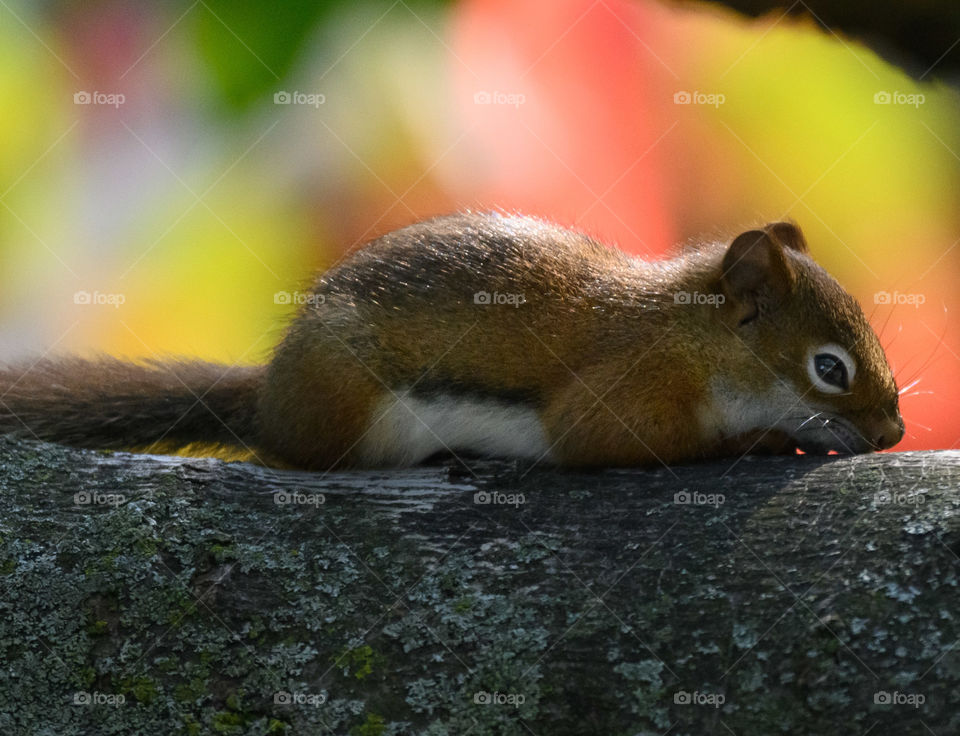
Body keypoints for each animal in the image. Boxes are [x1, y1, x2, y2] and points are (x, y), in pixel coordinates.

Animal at [0, 212, 903, 470]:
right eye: (829, 368)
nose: (895, 432)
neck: (694, 337)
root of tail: (270, 395)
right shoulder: (631, 386)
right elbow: (613, 442)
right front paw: (761, 439)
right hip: (345, 406)